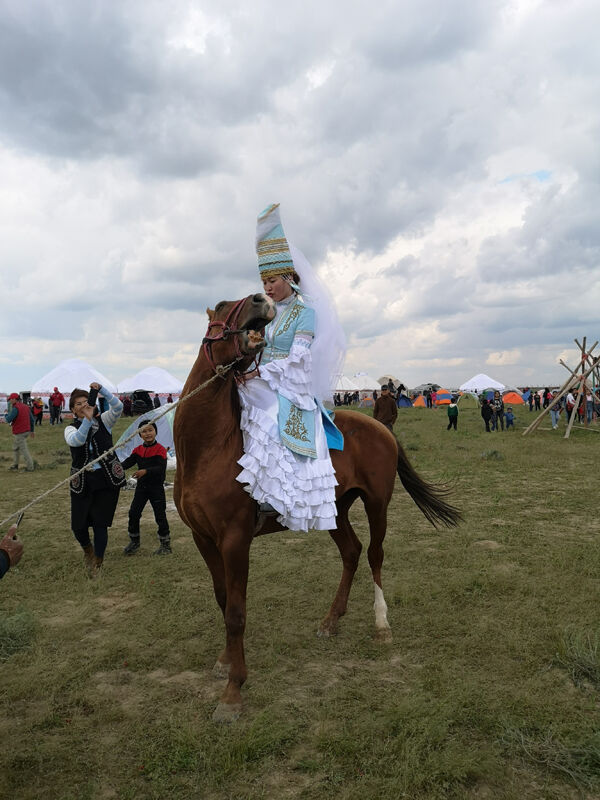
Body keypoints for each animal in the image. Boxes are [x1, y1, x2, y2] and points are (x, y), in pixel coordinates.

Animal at [173, 296, 460, 724]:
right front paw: (225, 662)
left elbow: (236, 612)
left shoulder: (235, 540)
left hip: (377, 505)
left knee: (374, 555)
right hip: (335, 510)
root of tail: (382, 429)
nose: (260, 300)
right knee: (352, 552)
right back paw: (331, 620)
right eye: (223, 306)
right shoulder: (204, 538)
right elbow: (223, 599)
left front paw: (233, 692)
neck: (208, 449)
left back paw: (381, 625)